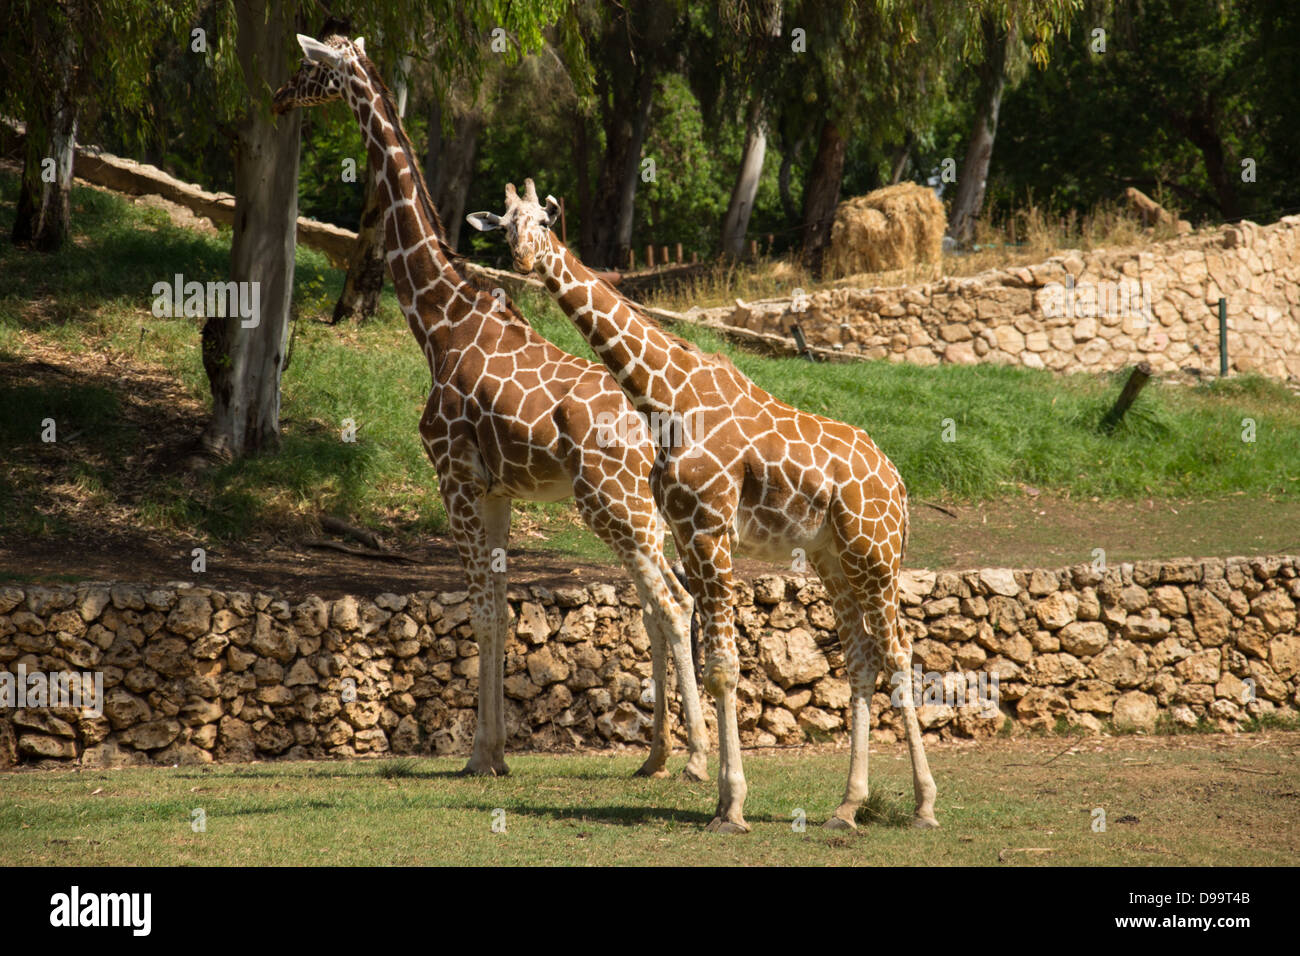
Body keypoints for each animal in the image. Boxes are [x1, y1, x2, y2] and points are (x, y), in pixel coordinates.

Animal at [267, 39, 707, 785]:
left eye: (312, 65)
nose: (276, 96)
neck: (439, 320)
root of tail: (664, 427)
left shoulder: (454, 475)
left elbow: (479, 611)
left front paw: (478, 755)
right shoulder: (499, 489)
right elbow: (500, 609)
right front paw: (497, 752)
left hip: (612, 500)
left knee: (673, 602)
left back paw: (697, 759)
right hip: (638, 506)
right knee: (662, 602)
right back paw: (655, 756)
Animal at [473, 180, 941, 832]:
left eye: (544, 220)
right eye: (504, 225)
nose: (521, 260)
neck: (663, 395)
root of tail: (897, 482)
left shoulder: (712, 530)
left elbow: (724, 665)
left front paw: (732, 805)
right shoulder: (687, 533)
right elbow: (706, 651)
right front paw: (722, 796)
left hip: (875, 552)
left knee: (899, 652)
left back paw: (924, 805)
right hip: (832, 557)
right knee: (861, 657)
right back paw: (847, 806)